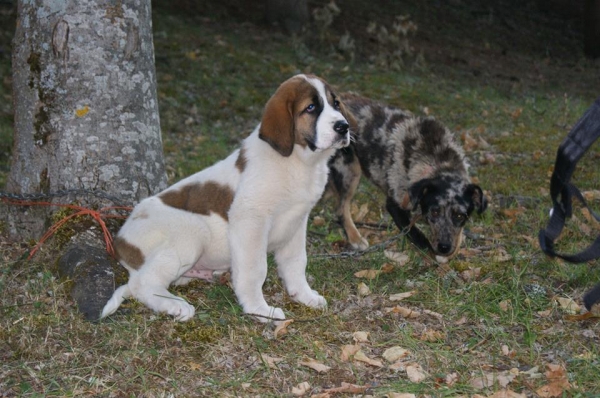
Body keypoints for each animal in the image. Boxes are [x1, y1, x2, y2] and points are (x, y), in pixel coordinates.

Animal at [101, 75, 354, 324]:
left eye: (336, 104)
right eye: (311, 107)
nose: (344, 127)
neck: (298, 162)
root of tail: (120, 241)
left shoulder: (297, 221)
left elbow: (296, 262)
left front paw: (304, 296)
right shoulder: (250, 221)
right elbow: (255, 269)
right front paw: (259, 309)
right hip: (192, 232)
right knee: (140, 283)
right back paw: (175, 306)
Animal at [324, 93, 488, 256]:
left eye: (460, 216)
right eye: (434, 212)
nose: (444, 247)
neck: (438, 160)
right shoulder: (395, 205)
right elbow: (417, 235)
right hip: (351, 170)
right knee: (341, 209)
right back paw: (356, 238)